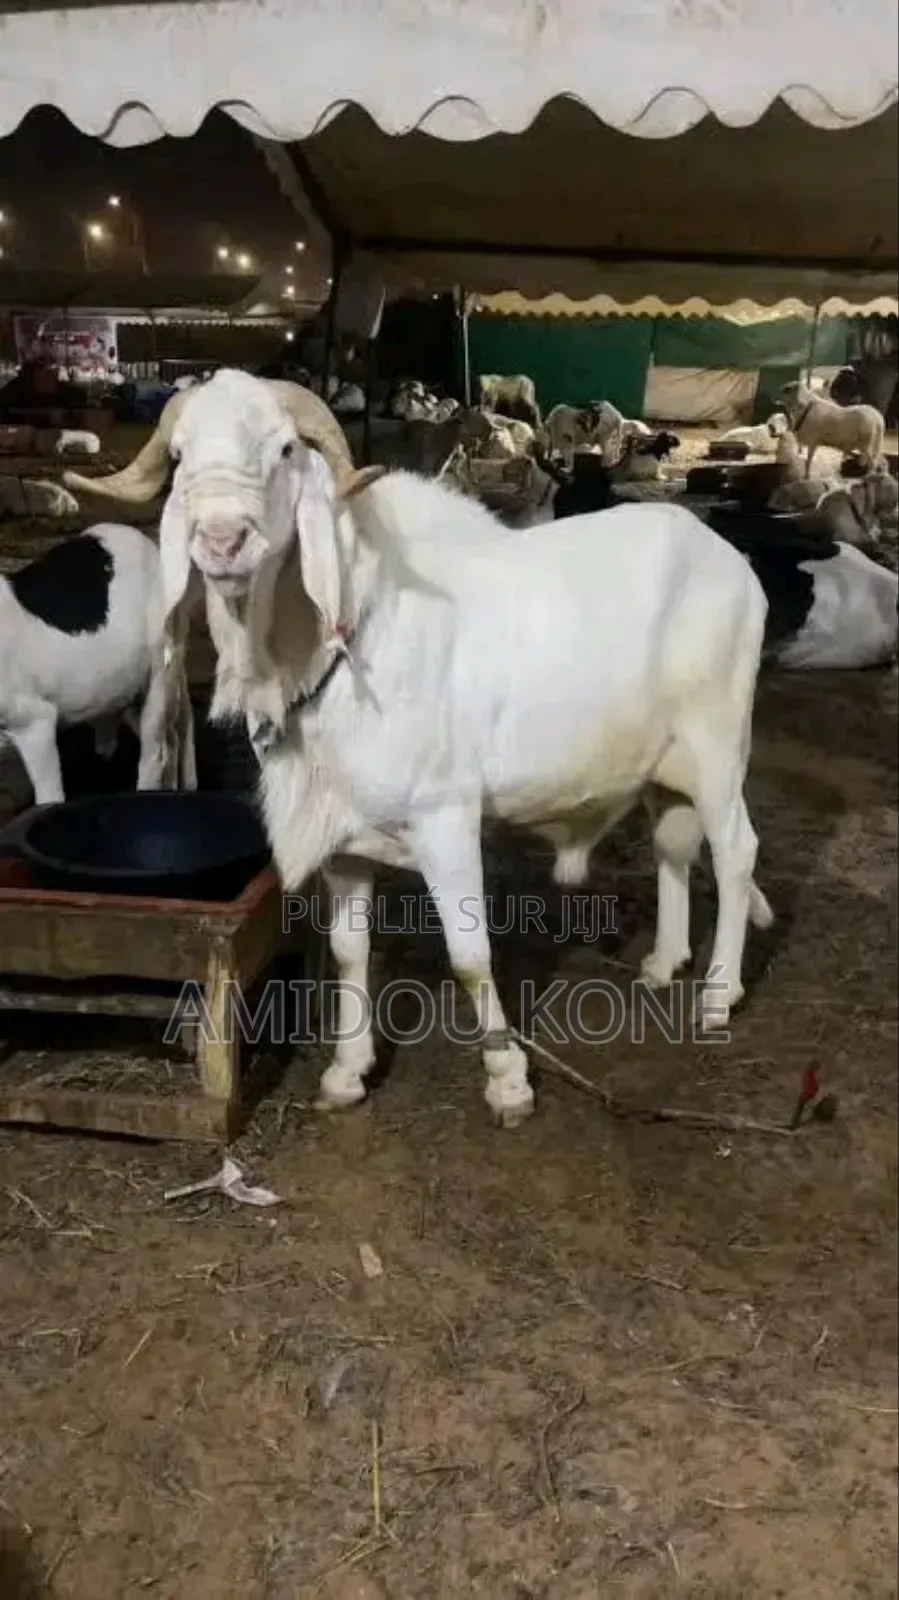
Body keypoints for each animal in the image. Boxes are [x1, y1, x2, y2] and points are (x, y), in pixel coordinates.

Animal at [83, 368, 775, 1126]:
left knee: (735, 851)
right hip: (663, 766)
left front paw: (508, 1082)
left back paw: (718, 993)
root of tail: (730, 560)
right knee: (673, 846)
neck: (344, 642)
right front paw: (346, 1072)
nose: (222, 538)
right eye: (179, 456)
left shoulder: (447, 817)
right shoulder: (344, 840)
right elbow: (348, 951)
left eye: (286, 448)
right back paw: (662, 964)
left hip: (718, 744)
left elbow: (470, 956)